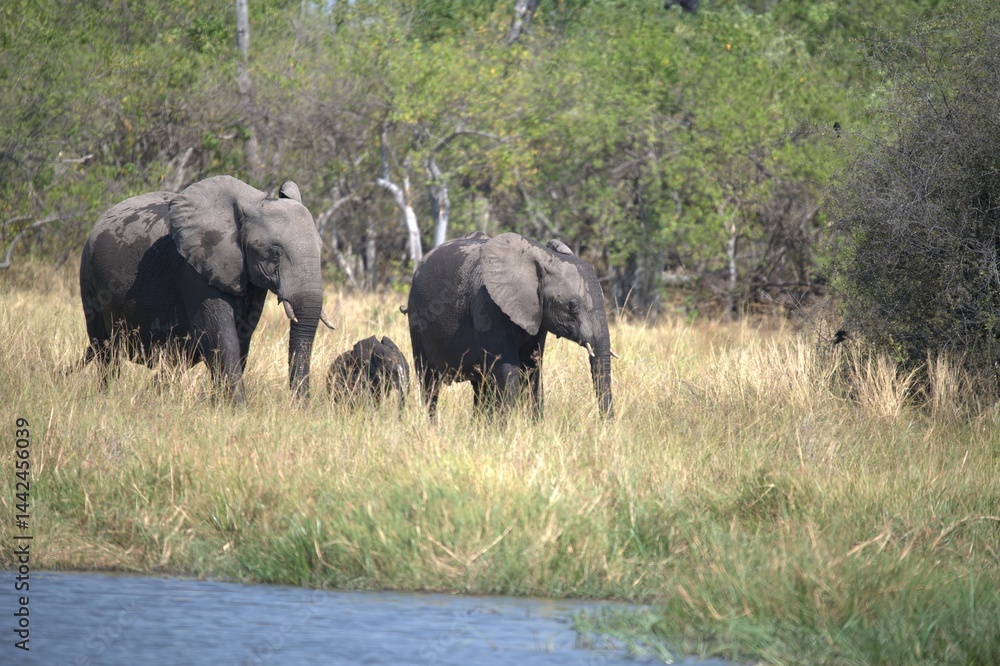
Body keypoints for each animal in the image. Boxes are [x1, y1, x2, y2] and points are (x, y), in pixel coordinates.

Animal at [78, 175, 334, 401]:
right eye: (274, 253)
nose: (300, 407)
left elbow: (241, 337)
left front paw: (219, 405)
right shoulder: (196, 270)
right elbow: (220, 335)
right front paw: (236, 409)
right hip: (88, 274)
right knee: (105, 351)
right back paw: (107, 396)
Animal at [405, 231, 615, 419]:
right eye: (572, 306)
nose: (605, 425)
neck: (542, 257)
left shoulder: (536, 317)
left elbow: (531, 370)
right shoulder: (489, 307)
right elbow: (507, 372)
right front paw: (504, 430)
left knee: (479, 385)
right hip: (416, 319)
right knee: (429, 383)